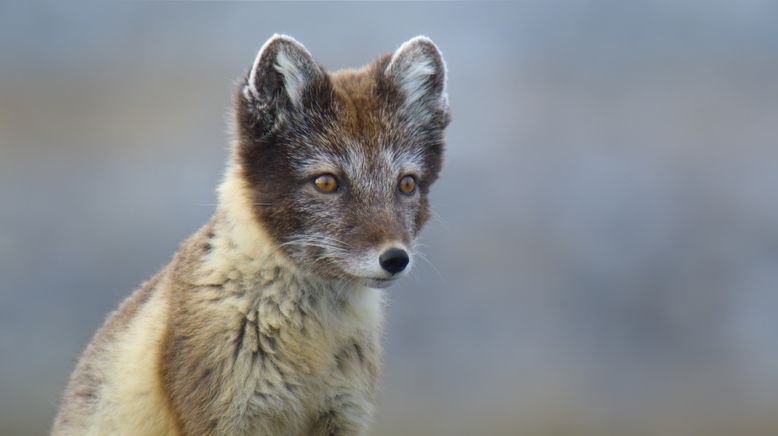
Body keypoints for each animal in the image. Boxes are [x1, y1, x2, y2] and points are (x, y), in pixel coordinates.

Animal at [51, 35, 448, 436]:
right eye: (326, 182)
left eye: (407, 184)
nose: (395, 259)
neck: (310, 344)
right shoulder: (228, 417)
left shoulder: (344, 415)